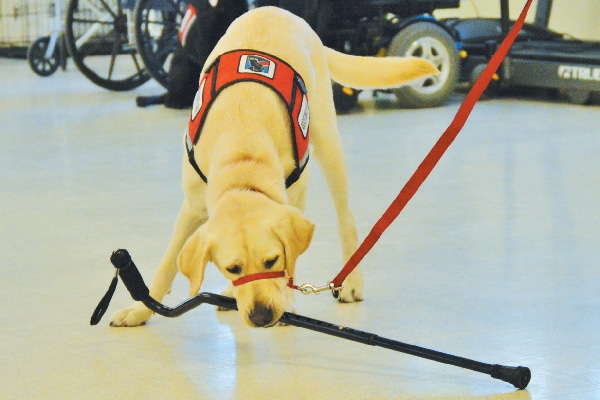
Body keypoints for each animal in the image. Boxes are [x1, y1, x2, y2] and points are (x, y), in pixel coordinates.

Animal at [111, 6, 436, 328]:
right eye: (233, 268)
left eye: (272, 261)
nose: (261, 316)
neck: (241, 162)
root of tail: (278, 10)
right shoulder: (193, 205)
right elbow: (167, 264)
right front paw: (139, 309)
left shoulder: (294, 197)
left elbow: (291, 266)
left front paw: (287, 301)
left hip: (327, 141)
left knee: (347, 220)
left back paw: (352, 282)